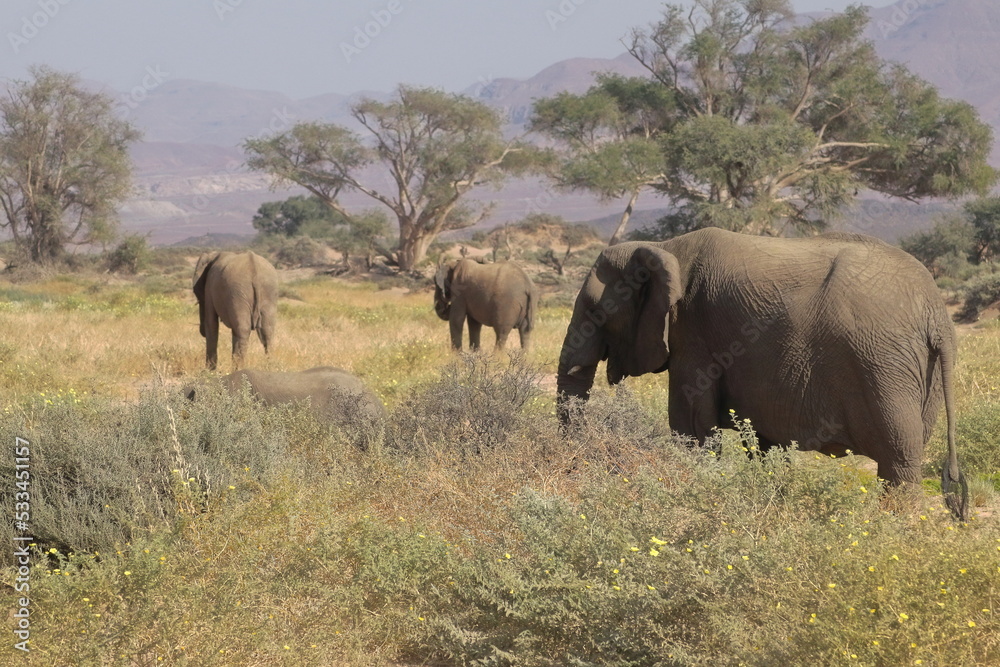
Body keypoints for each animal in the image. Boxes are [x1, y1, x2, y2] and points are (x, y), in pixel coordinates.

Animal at [556, 230, 968, 520]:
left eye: (594, 311)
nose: (573, 469)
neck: (665, 247)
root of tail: (936, 314)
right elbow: (767, 443)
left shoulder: (693, 332)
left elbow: (690, 426)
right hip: (918, 373)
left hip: (884, 365)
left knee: (898, 459)